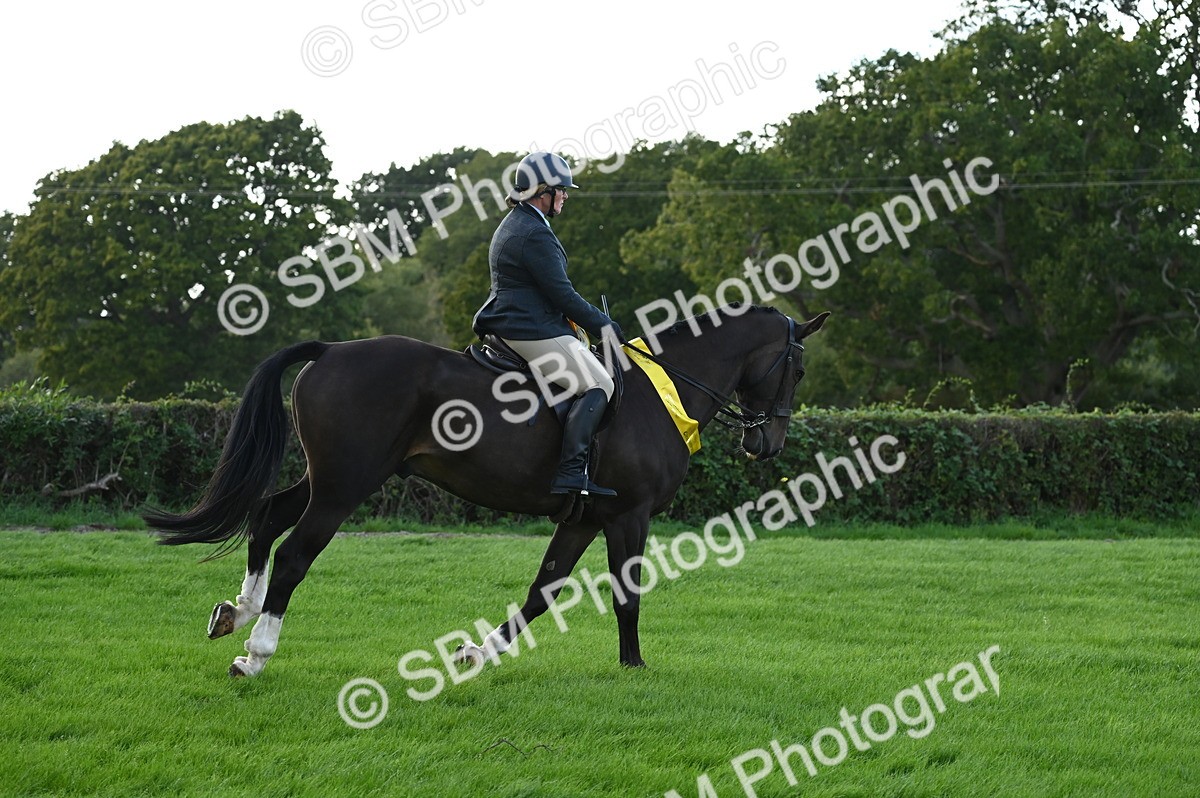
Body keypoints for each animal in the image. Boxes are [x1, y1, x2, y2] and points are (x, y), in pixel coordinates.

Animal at [146, 304, 828, 677]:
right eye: (796, 368)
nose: (767, 445)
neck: (662, 392)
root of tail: (333, 348)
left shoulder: (581, 518)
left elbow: (542, 591)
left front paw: (479, 653)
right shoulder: (628, 516)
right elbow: (627, 595)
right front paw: (634, 665)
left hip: (330, 479)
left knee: (265, 517)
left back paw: (237, 611)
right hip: (344, 488)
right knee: (292, 555)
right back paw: (256, 654)